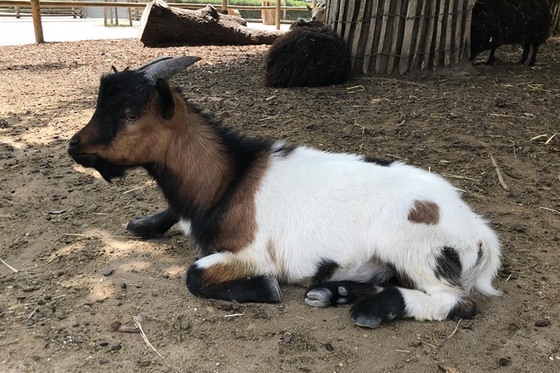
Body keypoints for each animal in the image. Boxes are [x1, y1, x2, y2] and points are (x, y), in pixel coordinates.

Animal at [68, 56, 500, 326]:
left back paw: (371, 309)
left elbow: (194, 274)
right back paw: (334, 293)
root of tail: (477, 229)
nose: (74, 146)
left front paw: (265, 288)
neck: (229, 178)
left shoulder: (248, 253)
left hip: (412, 248)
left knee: (455, 301)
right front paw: (142, 224)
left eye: (129, 114)